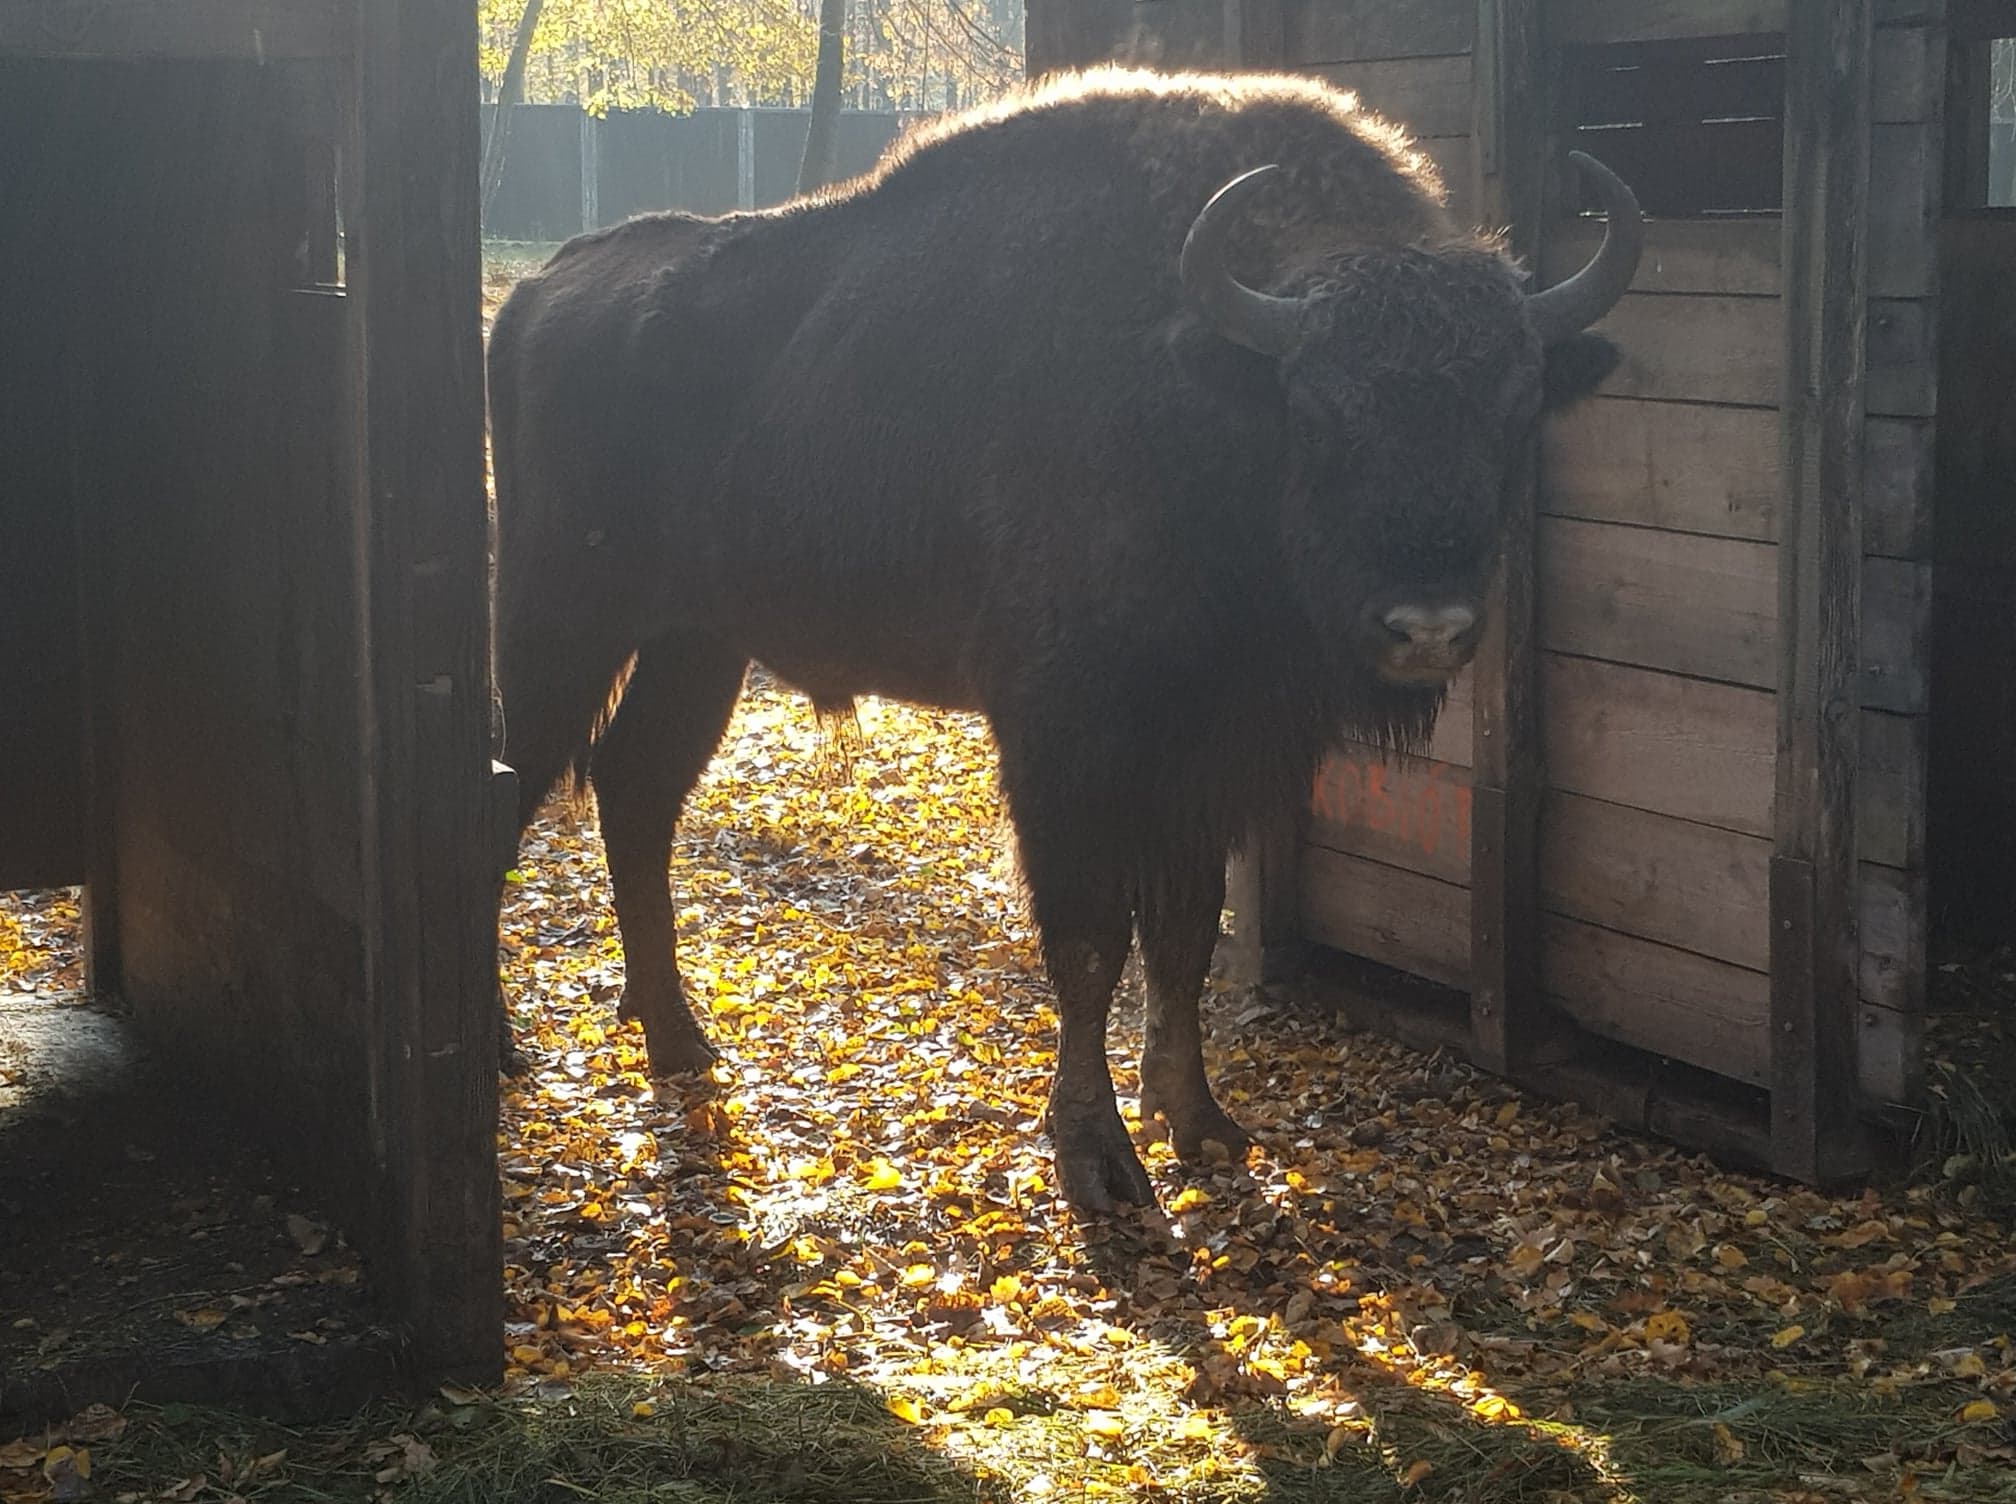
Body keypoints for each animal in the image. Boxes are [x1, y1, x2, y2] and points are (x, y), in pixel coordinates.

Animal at [491, 70, 1636, 1209]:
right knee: (514, 790)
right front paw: (1098, 1157)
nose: (1428, 626)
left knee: (636, 793)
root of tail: (541, 288)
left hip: (697, 645)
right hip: (559, 624)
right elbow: (1090, 939)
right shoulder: (1063, 737)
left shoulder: (1212, 751)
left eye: (1515, 404)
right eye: (1318, 406)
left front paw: (1198, 1121)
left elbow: (1182, 930)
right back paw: (510, 1047)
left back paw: (679, 1040)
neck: (1204, 386)